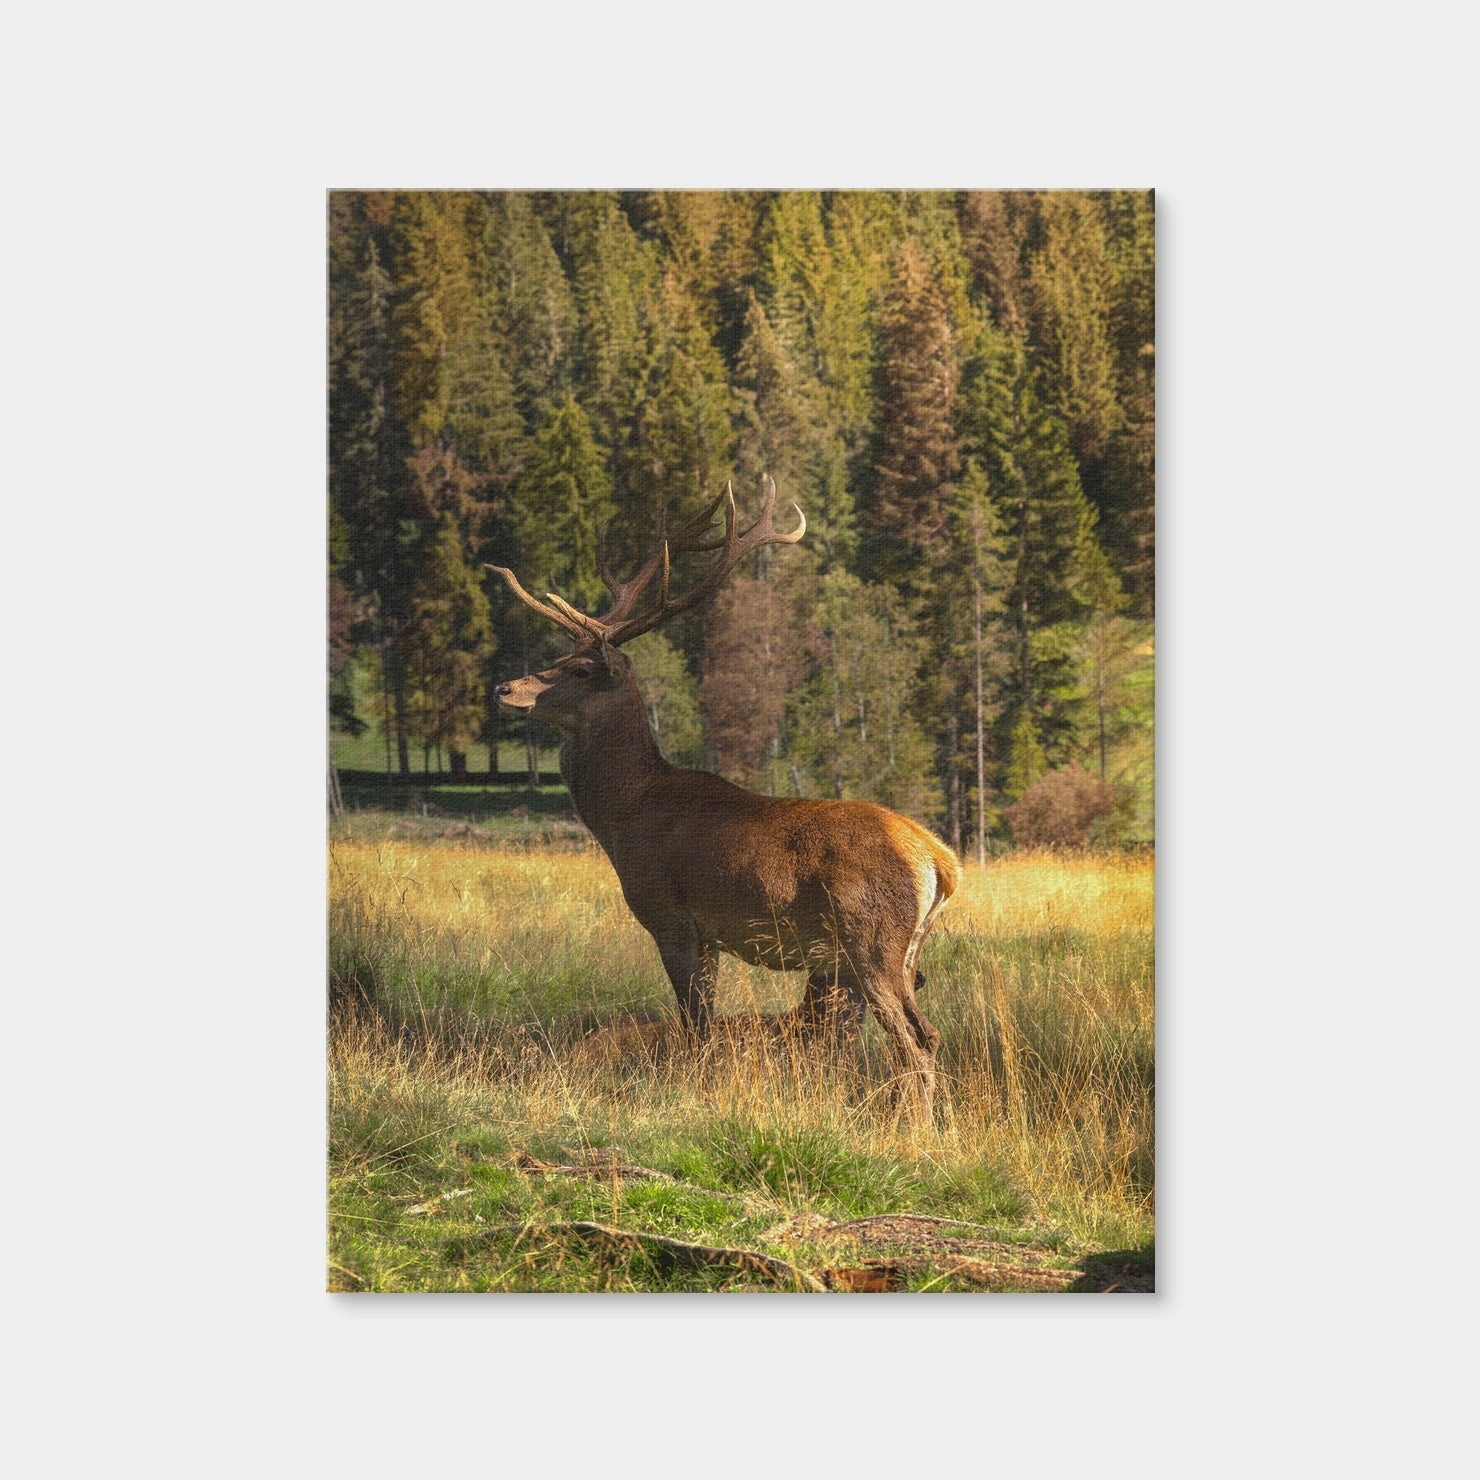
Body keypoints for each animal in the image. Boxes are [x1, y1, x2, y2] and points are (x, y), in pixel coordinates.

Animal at [490, 476, 960, 1117]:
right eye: (558, 657)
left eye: (582, 669)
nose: (503, 687)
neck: (626, 816)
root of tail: (938, 859)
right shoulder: (709, 933)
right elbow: (704, 1025)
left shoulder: (670, 913)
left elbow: (697, 1026)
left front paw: (695, 1095)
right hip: (905, 949)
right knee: (926, 1034)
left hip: (870, 939)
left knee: (916, 1039)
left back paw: (916, 1129)